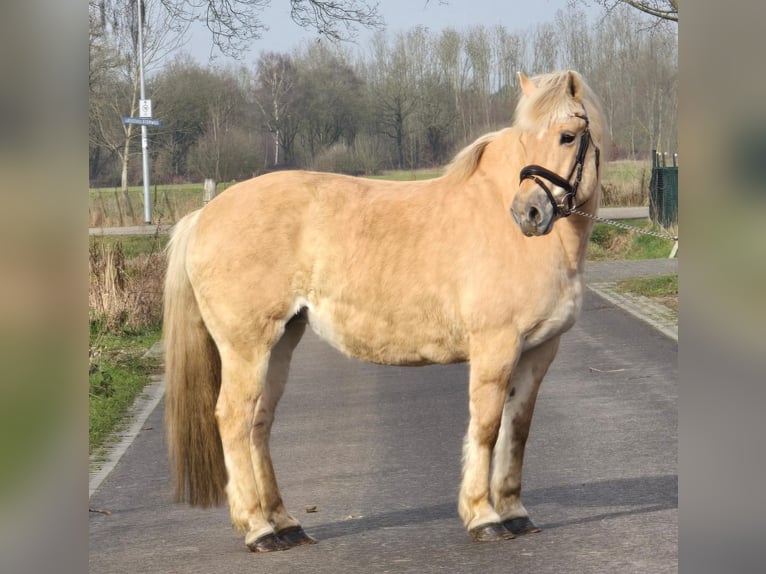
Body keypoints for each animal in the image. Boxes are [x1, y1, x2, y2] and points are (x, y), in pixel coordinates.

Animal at [163, 70, 608, 552]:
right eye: (524, 140)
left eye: (567, 137)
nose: (528, 213)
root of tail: (204, 215)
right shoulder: (496, 347)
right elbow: (486, 427)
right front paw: (484, 517)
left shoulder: (539, 352)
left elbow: (518, 429)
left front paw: (515, 512)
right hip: (246, 346)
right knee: (233, 419)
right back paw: (258, 529)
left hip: (281, 341)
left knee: (258, 424)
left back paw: (284, 524)